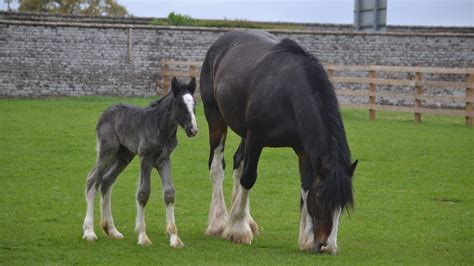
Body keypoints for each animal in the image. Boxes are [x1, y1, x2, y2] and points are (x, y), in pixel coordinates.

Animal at [82, 77, 197, 247]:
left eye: (194, 104)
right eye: (180, 105)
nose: (193, 130)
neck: (160, 126)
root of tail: (105, 112)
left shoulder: (164, 159)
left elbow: (169, 193)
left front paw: (174, 237)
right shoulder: (146, 158)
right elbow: (143, 193)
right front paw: (143, 236)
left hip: (124, 156)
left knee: (106, 181)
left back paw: (112, 230)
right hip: (108, 151)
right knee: (92, 179)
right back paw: (89, 232)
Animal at [198, 30, 358, 254]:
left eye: (342, 205)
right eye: (320, 198)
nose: (327, 246)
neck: (288, 93)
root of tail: (220, 42)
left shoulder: (303, 150)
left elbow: (306, 185)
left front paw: (307, 238)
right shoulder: (256, 138)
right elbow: (249, 178)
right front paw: (238, 230)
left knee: (238, 161)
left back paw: (245, 219)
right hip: (215, 117)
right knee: (217, 166)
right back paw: (219, 222)